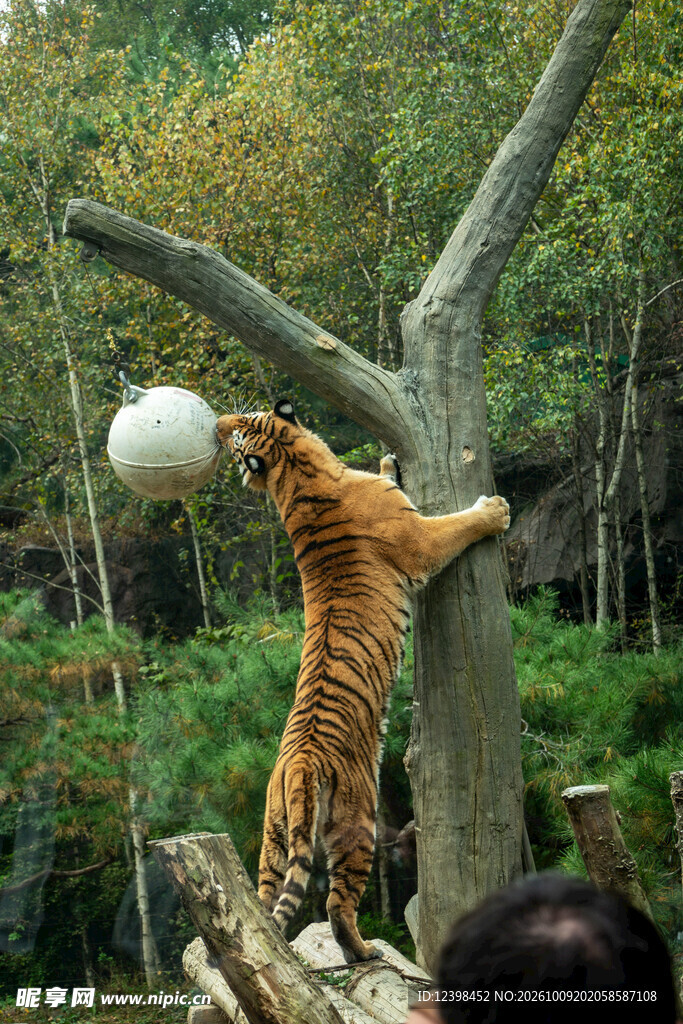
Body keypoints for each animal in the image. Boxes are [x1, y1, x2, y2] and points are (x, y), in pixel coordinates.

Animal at [216, 399, 510, 963]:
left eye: (239, 425)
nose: (215, 427)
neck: (297, 476)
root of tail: (298, 765)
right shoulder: (418, 542)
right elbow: (456, 526)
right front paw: (495, 511)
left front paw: (388, 461)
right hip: (357, 823)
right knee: (335, 904)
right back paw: (365, 952)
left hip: (273, 837)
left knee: (261, 907)